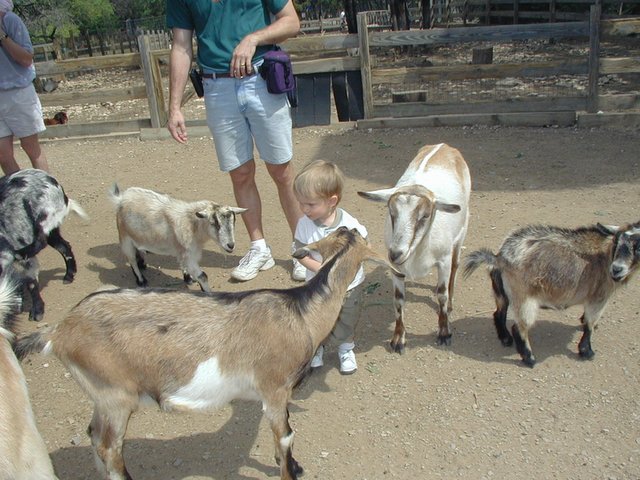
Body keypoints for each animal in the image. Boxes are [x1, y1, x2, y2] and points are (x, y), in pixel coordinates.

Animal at [0, 169, 88, 321]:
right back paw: (69, 275)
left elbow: (31, 283)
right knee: (64, 246)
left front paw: (37, 312)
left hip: (46, 216)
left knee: (42, 240)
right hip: (52, 229)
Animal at [15, 227, 399, 480]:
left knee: (94, 436)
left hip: (101, 395)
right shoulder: (274, 389)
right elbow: (285, 435)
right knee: (110, 447)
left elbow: (283, 438)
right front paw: (290, 469)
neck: (301, 312)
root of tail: (60, 330)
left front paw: (292, 464)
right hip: (116, 396)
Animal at [108, 184, 246, 292]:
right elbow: (202, 276)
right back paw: (141, 280)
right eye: (215, 223)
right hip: (124, 237)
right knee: (131, 258)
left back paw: (142, 263)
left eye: (233, 221)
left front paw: (188, 278)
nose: (230, 245)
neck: (192, 223)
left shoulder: (184, 252)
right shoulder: (188, 255)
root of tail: (120, 199)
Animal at [358, 143, 471, 350]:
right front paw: (398, 339)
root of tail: (444, 145)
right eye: (391, 212)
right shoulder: (396, 269)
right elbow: (398, 299)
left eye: (425, 215)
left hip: (462, 232)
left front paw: (444, 333)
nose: (395, 253)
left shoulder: (443, 260)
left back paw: (451, 302)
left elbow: (442, 295)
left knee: (456, 265)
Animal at [463, 222, 640, 367]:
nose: (616, 269)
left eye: (638, 247)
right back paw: (530, 359)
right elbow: (590, 324)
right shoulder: (599, 296)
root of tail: (499, 258)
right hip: (524, 298)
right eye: (617, 242)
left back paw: (506, 339)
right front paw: (587, 352)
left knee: (499, 313)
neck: (605, 254)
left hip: (502, 293)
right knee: (519, 327)